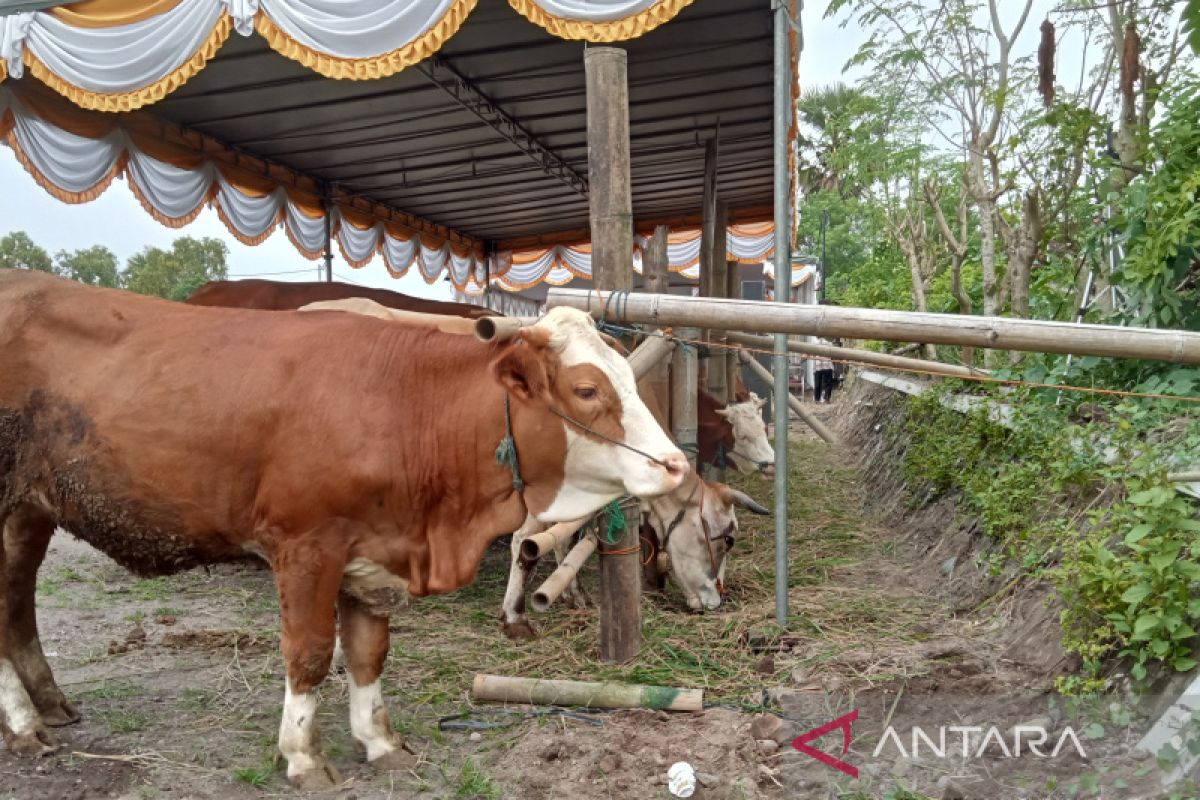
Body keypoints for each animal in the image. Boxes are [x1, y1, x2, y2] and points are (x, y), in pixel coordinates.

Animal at [0, 268, 686, 786]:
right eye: (587, 389)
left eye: (627, 376)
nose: (676, 463)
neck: (401, 405)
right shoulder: (306, 547)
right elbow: (308, 654)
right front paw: (303, 756)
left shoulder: (375, 551)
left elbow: (366, 652)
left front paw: (379, 742)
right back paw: (25, 725)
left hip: (28, 514)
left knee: (16, 608)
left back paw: (48, 707)